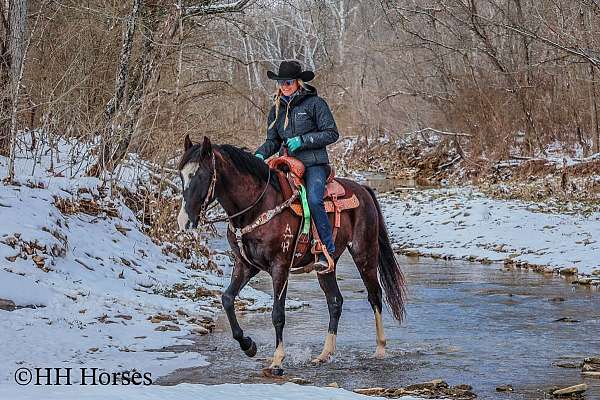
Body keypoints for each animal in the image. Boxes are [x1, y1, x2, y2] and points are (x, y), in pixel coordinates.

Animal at [176, 137, 406, 376]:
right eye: (181, 174)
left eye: (201, 175)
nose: (184, 221)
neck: (257, 206)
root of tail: (363, 189)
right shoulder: (245, 265)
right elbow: (228, 299)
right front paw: (248, 345)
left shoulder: (281, 266)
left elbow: (278, 314)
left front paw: (277, 361)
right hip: (327, 265)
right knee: (335, 301)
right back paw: (325, 354)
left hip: (364, 253)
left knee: (375, 296)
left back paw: (380, 348)